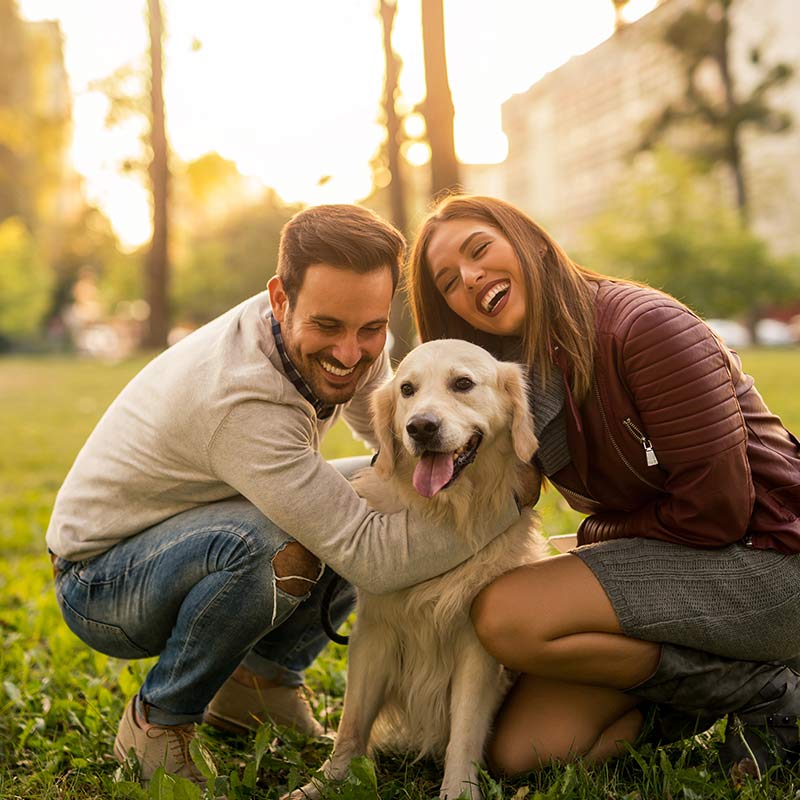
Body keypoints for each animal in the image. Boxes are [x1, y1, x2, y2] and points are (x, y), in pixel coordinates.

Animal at [290, 340, 548, 800]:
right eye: (407, 389)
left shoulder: (475, 646)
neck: (446, 512)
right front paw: (325, 782)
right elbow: (352, 723)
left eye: (462, 383)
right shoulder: (374, 633)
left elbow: (464, 729)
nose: (421, 428)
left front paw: (458, 791)